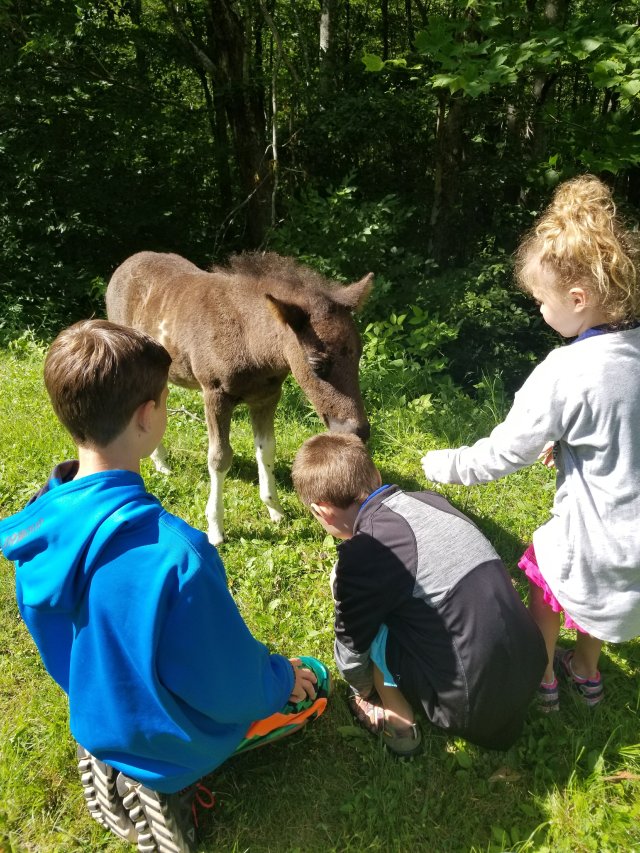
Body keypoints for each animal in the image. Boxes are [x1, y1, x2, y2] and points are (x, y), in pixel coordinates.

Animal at [106, 251, 373, 544]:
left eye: (359, 353)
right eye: (317, 364)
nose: (359, 430)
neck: (250, 338)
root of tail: (126, 262)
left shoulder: (267, 396)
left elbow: (266, 449)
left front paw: (275, 509)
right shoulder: (215, 394)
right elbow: (219, 457)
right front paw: (215, 528)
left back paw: (161, 462)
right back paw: (161, 463)